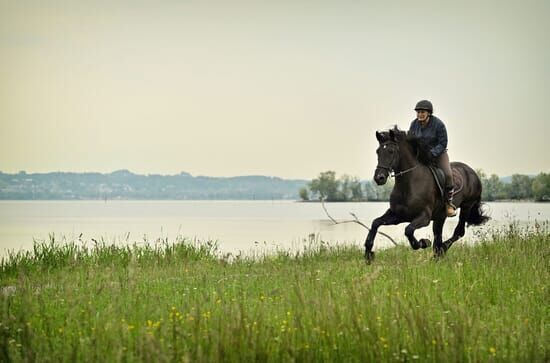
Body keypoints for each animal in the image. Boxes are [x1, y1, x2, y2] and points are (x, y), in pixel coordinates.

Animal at [366, 127, 492, 262]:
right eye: (378, 151)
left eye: (391, 151)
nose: (379, 178)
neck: (408, 185)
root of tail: (473, 172)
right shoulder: (398, 215)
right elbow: (375, 223)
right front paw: (368, 253)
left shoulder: (424, 217)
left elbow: (408, 230)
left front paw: (424, 242)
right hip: (440, 216)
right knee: (438, 235)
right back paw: (437, 255)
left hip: (466, 206)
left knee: (458, 232)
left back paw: (441, 250)